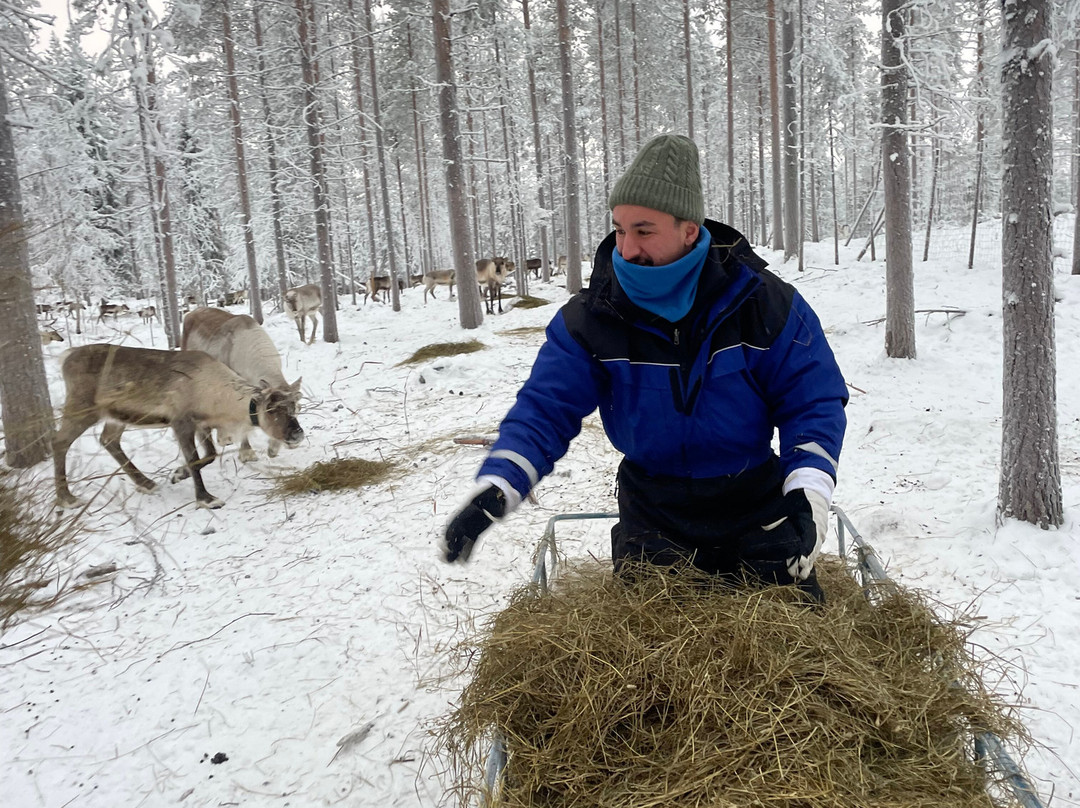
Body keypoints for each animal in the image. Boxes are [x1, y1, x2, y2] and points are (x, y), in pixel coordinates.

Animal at [53, 344, 304, 510]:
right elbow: (194, 459)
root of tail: (65, 357)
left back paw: (146, 483)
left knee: (108, 440)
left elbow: (209, 455)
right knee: (61, 441)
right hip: (82, 408)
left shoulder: (203, 425)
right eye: (271, 410)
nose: (297, 434)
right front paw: (206, 498)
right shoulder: (181, 422)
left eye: (294, 406)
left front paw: (178, 474)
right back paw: (67, 498)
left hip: (116, 417)